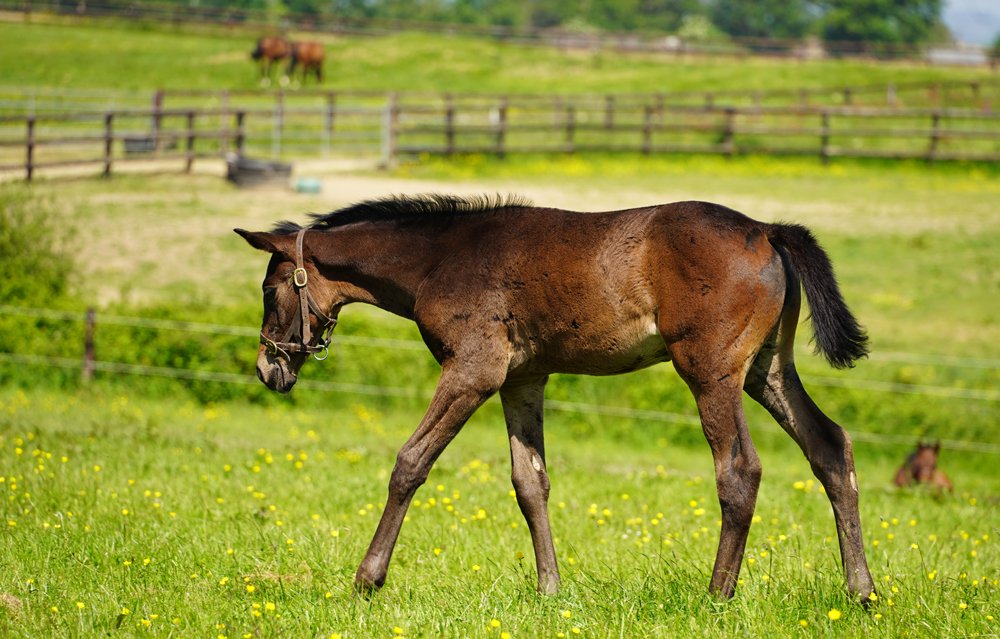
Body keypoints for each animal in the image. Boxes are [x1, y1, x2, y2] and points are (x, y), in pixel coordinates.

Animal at [235, 194, 876, 602]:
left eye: (269, 289)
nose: (268, 368)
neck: (440, 259)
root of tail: (766, 229)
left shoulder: (472, 371)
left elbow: (410, 462)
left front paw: (367, 580)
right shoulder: (522, 380)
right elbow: (530, 482)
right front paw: (550, 590)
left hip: (712, 372)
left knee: (740, 469)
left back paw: (717, 596)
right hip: (766, 369)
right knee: (830, 447)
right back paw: (861, 591)